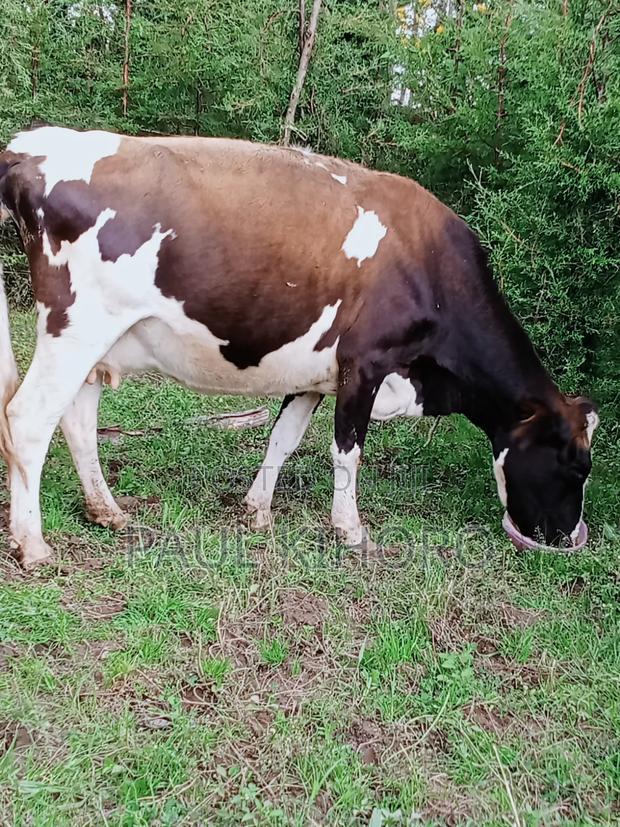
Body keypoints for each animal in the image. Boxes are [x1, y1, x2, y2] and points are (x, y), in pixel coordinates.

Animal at [0, 126, 598, 569]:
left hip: (96, 342)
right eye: (574, 466)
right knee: (29, 418)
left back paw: (107, 512)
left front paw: (256, 510)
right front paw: (350, 530)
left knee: (77, 421)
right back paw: (34, 546)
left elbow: (283, 439)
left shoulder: (315, 373)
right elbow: (347, 451)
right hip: (76, 325)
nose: (568, 537)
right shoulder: (365, 362)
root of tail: (29, 146)